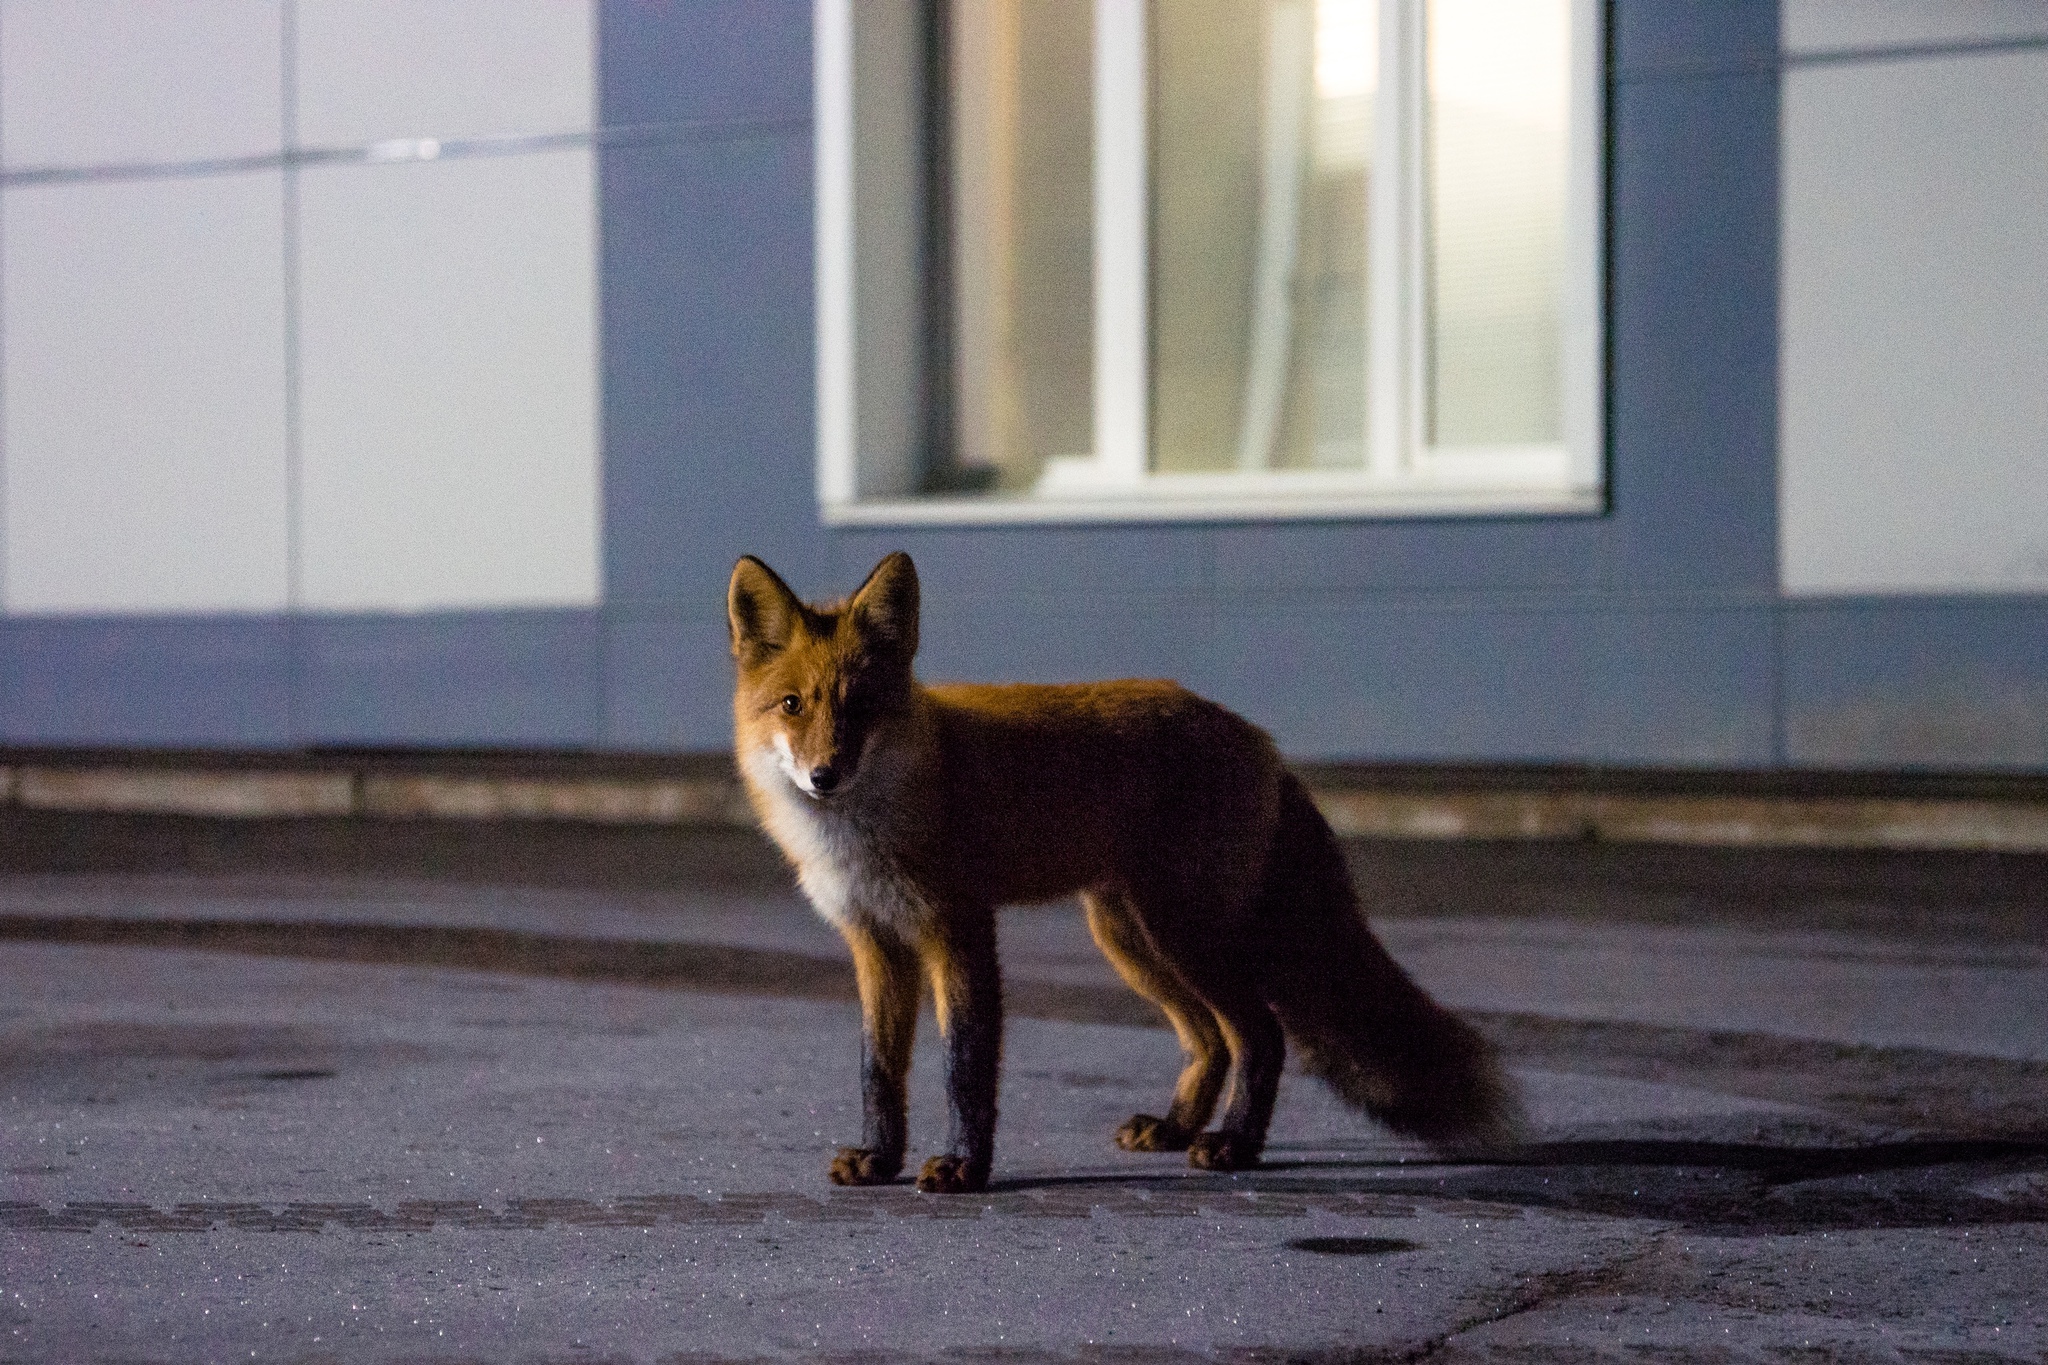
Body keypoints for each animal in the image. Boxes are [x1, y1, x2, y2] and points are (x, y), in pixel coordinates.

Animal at [729, 548, 1515, 1186]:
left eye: (860, 706)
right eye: (792, 705)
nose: (825, 775)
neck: (864, 833)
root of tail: (1259, 737)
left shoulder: (959, 931)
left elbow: (965, 1067)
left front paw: (964, 1168)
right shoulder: (877, 942)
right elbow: (878, 1068)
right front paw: (880, 1158)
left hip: (1182, 933)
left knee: (1261, 1033)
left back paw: (1234, 1144)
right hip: (1129, 937)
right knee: (1209, 1039)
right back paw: (1177, 1128)